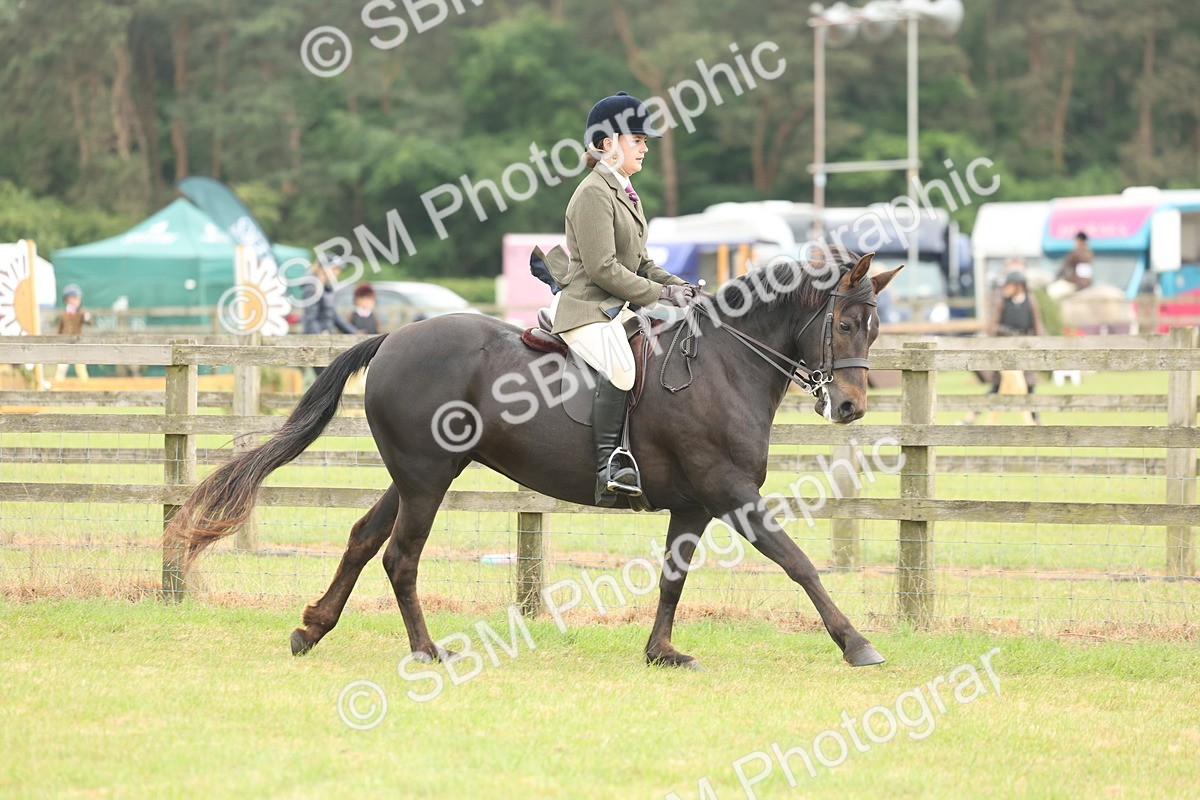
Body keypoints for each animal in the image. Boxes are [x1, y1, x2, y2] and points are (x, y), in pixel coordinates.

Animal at [164, 246, 901, 669]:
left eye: (875, 327)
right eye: (842, 324)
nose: (851, 408)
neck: (723, 361)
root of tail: (395, 336)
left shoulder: (695, 503)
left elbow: (673, 578)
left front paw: (661, 652)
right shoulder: (730, 493)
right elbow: (799, 563)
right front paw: (856, 643)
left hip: (416, 474)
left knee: (362, 538)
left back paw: (312, 629)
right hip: (427, 478)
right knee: (400, 556)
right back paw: (425, 651)